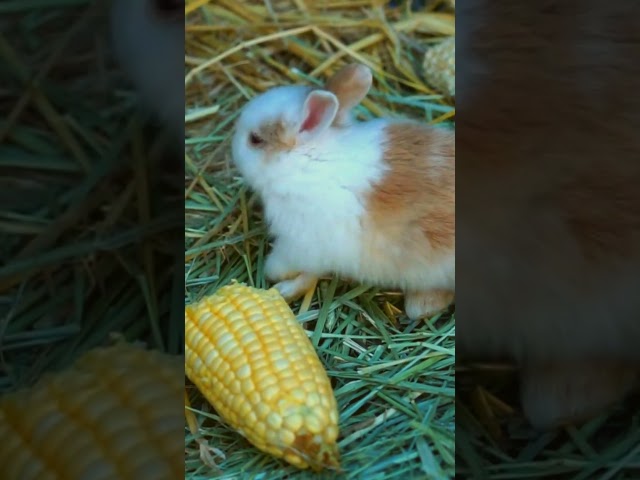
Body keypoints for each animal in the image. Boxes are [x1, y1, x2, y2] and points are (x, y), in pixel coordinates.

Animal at [230, 62, 456, 318]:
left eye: (255, 139)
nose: (232, 145)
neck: (307, 159)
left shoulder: (298, 243)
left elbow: (293, 268)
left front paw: (279, 282)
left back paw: (421, 306)